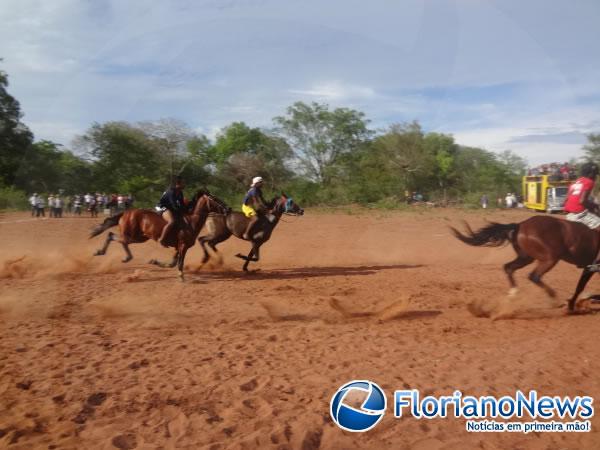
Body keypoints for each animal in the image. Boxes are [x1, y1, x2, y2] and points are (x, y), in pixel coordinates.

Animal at [452, 216, 600, 312]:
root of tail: (519, 225)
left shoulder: (589, 269)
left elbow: (580, 287)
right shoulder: (590, 269)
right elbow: (580, 288)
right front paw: (574, 304)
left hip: (526, 257)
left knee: (508, 268)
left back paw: (513, 294)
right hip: (550, 258)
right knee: (534, 276)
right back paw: (554, 300)